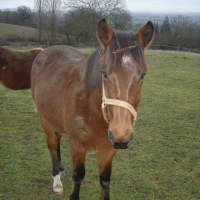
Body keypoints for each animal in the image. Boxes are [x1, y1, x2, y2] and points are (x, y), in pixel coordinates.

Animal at [31, 18, 154, 199]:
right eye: (104, 73)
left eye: (143, 75)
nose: (121, 135)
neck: (93, 110)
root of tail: (44, 52)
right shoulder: (77, 145)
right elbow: (78, 176)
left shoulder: (109, 149)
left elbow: (105, 179)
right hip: (45, 120)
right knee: (52, 145)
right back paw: (57, 180)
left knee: (58, 139)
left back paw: (61, 169)